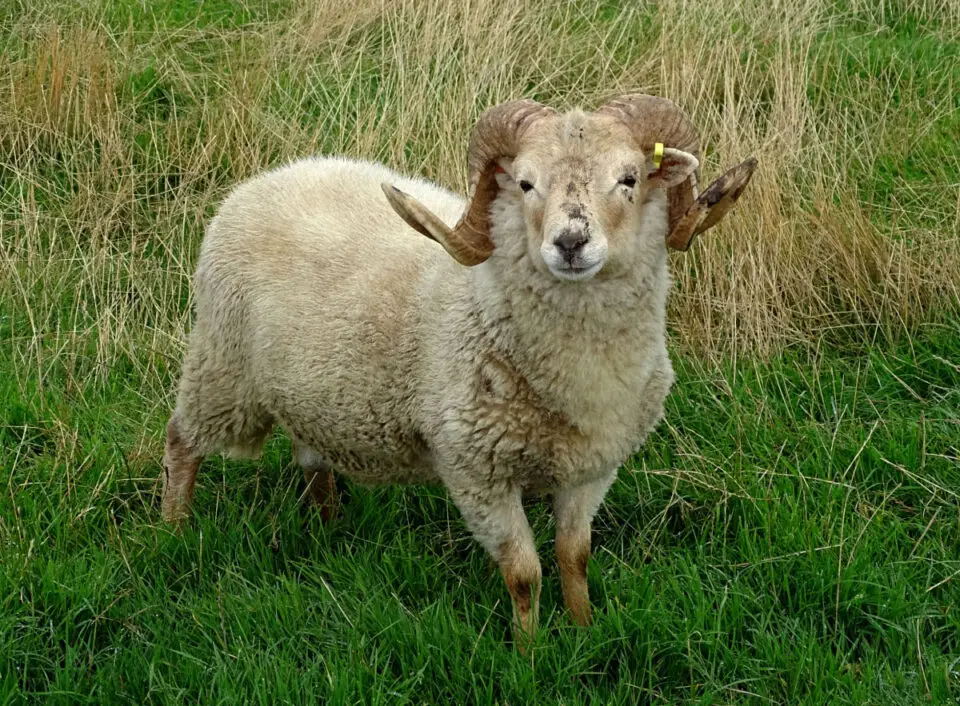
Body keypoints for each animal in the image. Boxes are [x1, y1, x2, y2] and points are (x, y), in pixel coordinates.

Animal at [161, 94, 756, 644]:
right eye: (524, 184)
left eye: (629, 178)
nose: (570, 243)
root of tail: (270, 176)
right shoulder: (476, 472)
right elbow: (524, 574)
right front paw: (529, 654)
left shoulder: (591, 468)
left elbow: (575, 557)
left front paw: (584, 631)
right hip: (221, 366)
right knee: (181, 442)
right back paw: (173, 532)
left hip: (310, 392)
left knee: (311, 456)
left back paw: (326, 527)